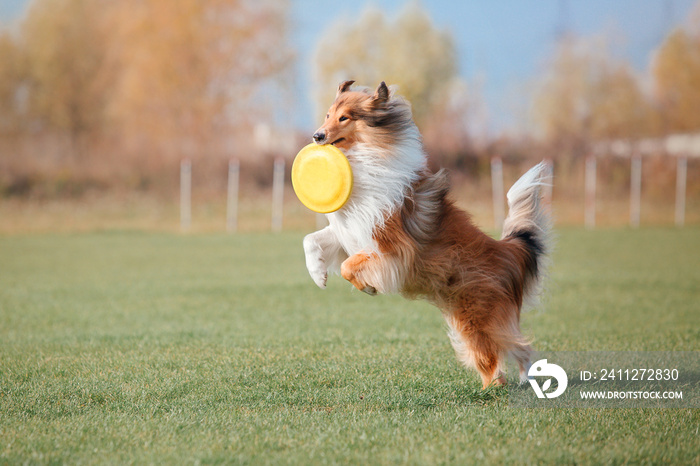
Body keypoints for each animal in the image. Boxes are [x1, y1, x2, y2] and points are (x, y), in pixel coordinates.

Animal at [302, 81, 552, 390]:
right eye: (327, 115)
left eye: (344, 117)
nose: (317, 136)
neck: (364, 157)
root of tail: (505, 250)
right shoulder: (349, 231)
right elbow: (311, 241)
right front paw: (318, 276)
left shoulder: (392, 246)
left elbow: (350, 266)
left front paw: (368, 287)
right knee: (510, 351)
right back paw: (517, 380)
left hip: (477, 316)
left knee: (506, 353)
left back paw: (502, 386)